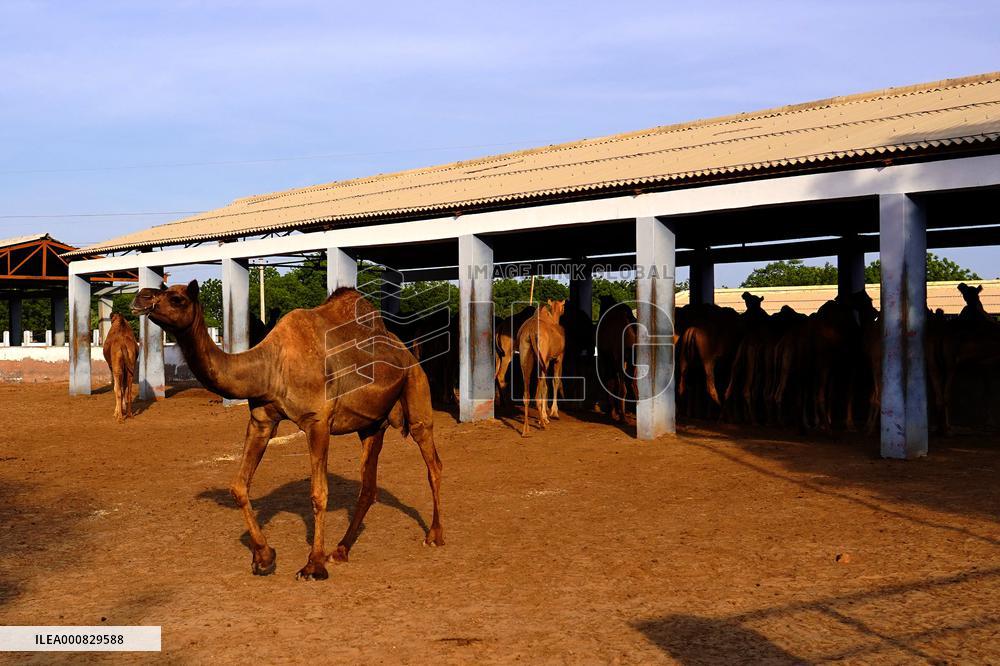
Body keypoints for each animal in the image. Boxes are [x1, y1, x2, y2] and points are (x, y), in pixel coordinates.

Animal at [131, 282, 443, 580]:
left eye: (177, 298)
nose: (140, 297)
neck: (272, 366)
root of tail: (405, 348)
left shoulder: (318, 422)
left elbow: (318, 493)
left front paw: (313, 566)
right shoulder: (261, 420)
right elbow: (239, 486)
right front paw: (264, 557)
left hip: (416, 389)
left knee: (432, 461)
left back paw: (434, 536)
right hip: (371, 424)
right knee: (369, 484)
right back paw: (341, 550)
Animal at [517, 299, 566, 436]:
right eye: (564, 306)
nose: (563, 310)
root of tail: (531, 331)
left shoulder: (547, 360)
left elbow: (546, 385)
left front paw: (545, 415)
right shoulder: (558, 357)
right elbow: (555, 381)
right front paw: (553, 413)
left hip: (525, 354)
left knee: (527, 389)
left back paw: (526, 429)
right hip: (542, 357)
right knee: (541, 386)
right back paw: (543, 423)